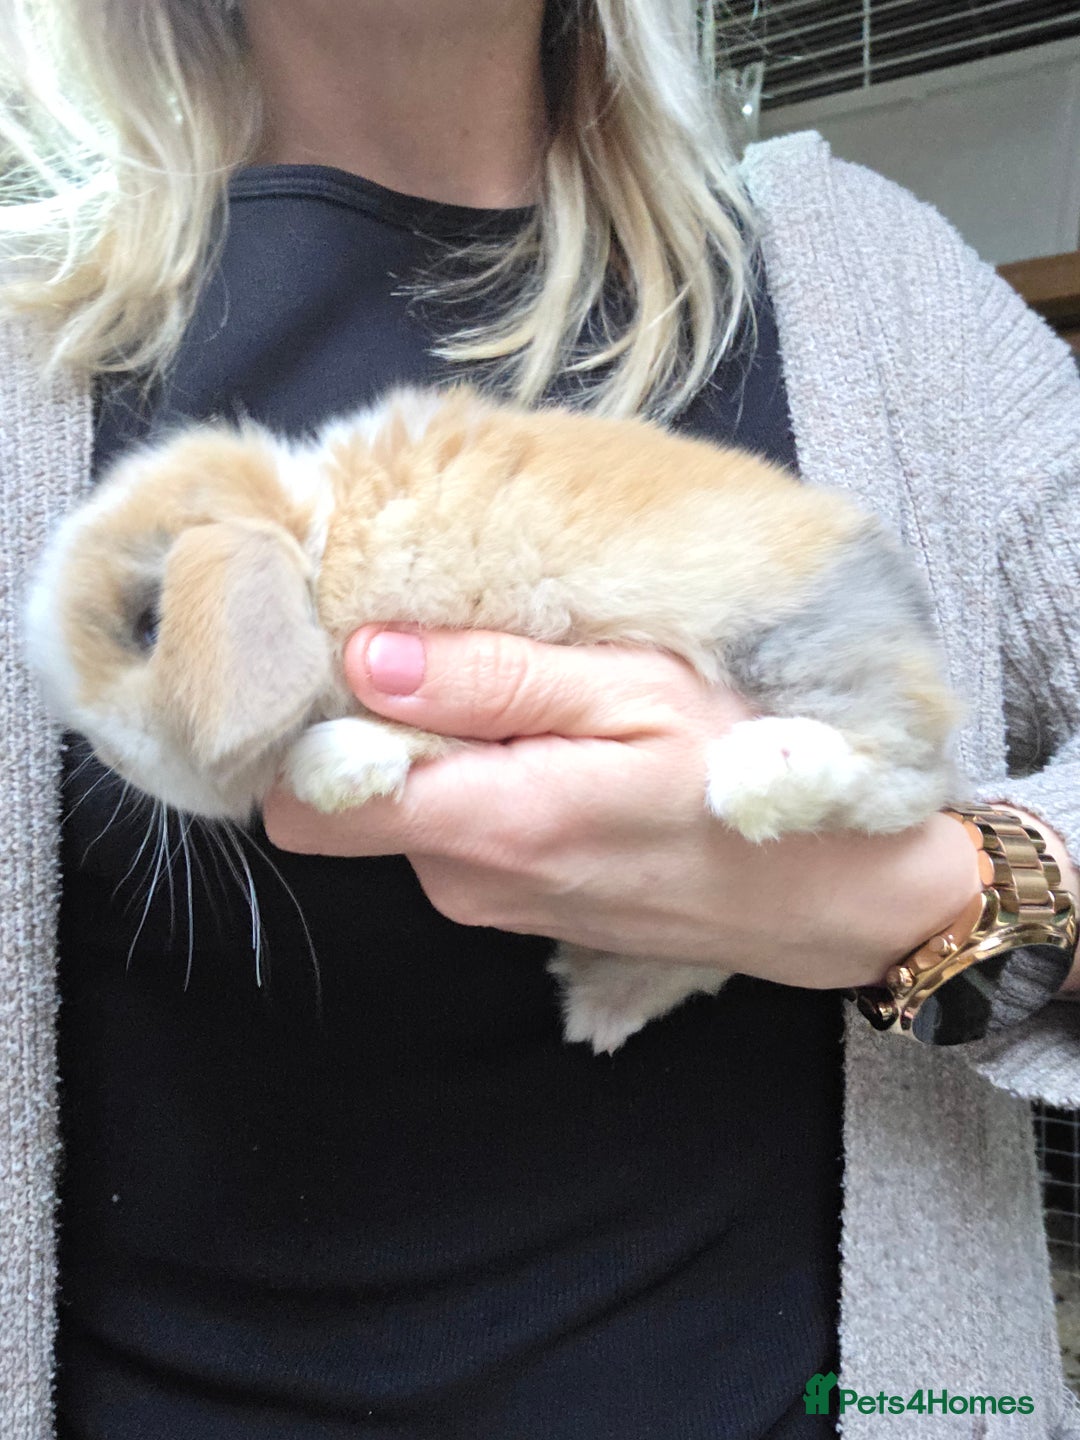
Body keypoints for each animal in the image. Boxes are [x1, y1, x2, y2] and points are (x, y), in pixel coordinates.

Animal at [26, 384, 962, 1053]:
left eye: (148, 625)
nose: (107, 757)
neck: (317, 544)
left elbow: (423, 728)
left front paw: (337, 762)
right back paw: (602, 1004)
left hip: (794, 647)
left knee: (908, 777)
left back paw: (763, 773)